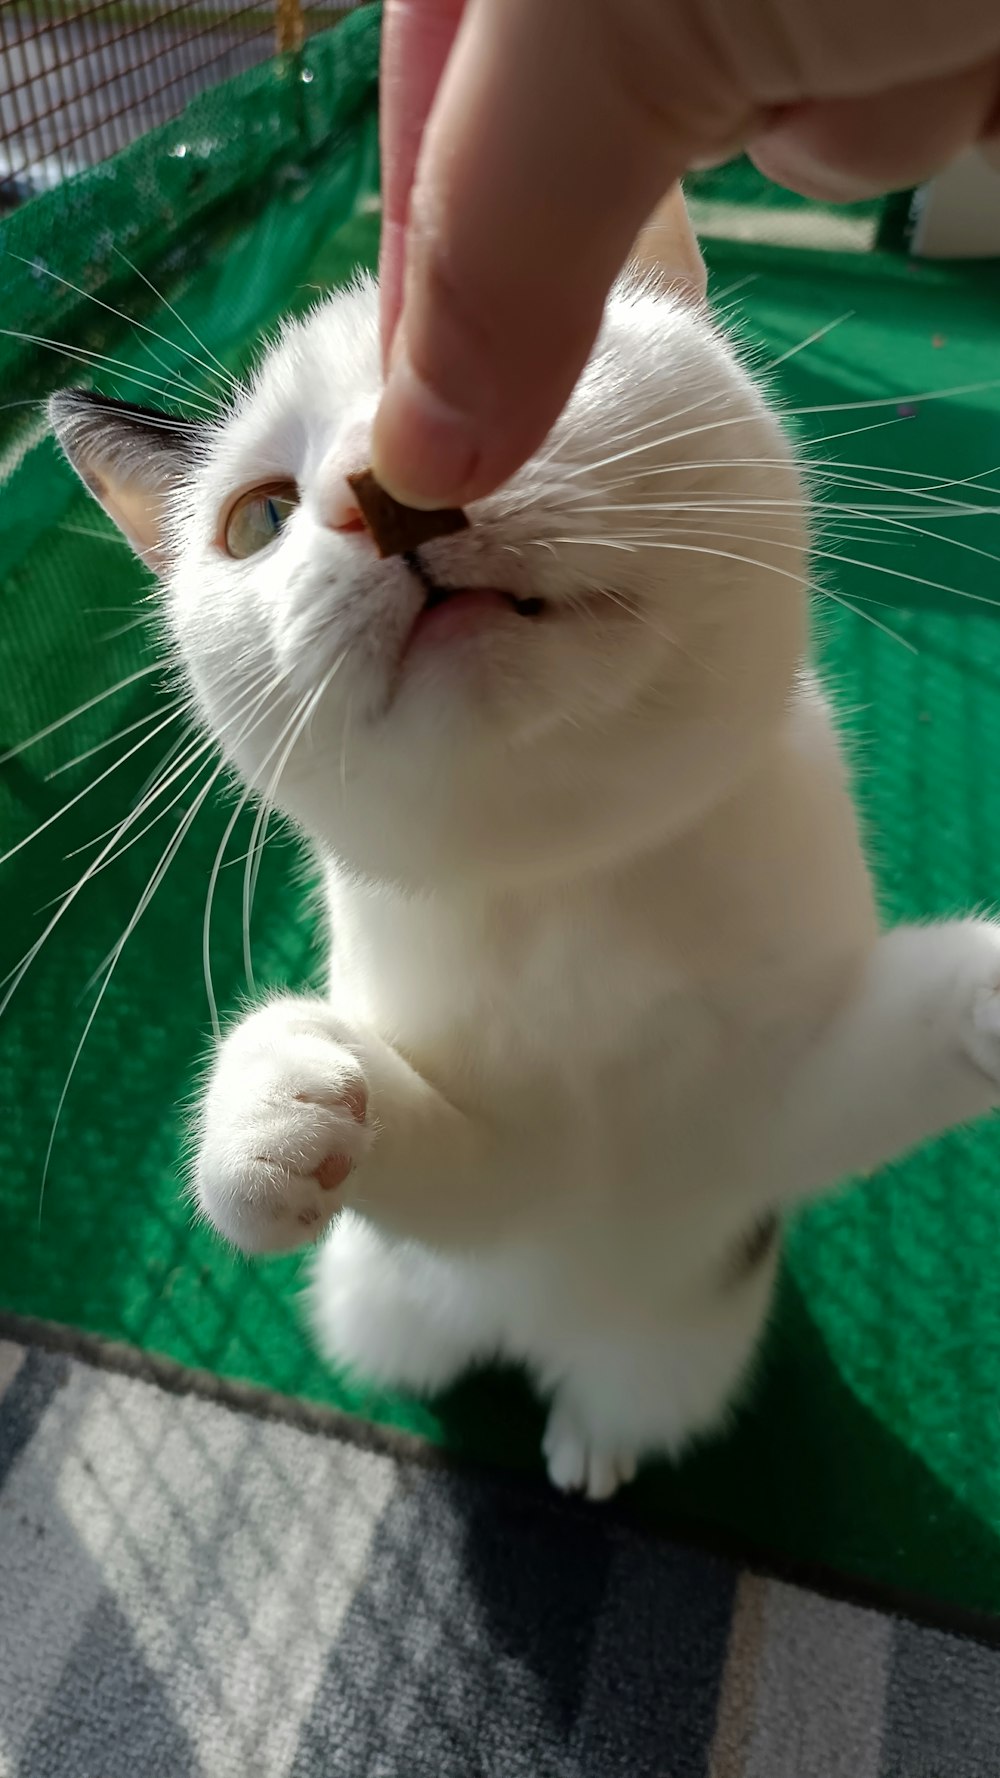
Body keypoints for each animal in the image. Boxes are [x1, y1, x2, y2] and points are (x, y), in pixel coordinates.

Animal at [50, 204, 996, 1500]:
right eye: (260, 519)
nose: (387, 492)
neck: (570, 887)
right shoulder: (507, 1182)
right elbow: (447, 1169)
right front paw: (270, 1103)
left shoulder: (761, 1122)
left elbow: (873, 1063)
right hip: (384, 1295)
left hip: (684, 1344)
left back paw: (593, 1439)